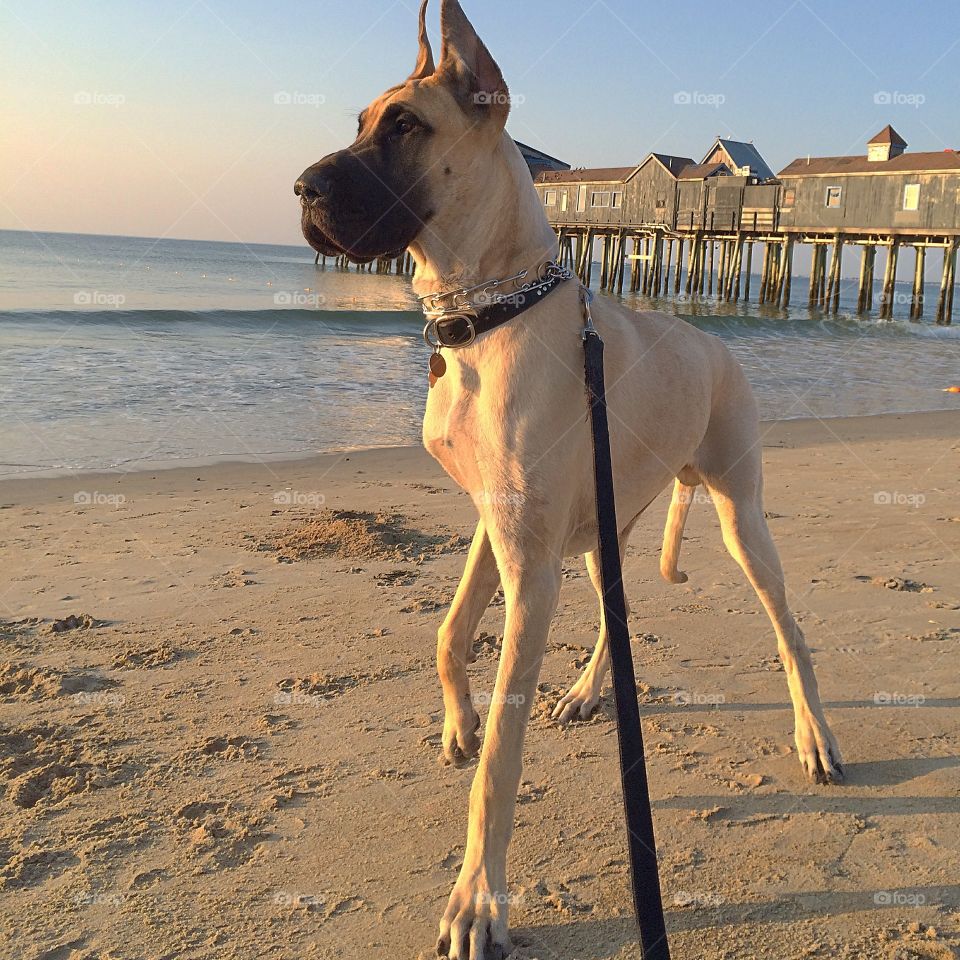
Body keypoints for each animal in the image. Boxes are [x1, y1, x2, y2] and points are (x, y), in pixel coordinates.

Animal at [292, 3, 840, 956]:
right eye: (361, 121)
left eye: (406, 127)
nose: (300, 190)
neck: (490, 312)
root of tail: (717, 340)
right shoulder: (499, 523)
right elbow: (447, 631)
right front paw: (460, 722)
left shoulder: (531, 569)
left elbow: (501, 766)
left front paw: (478, 897)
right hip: (600, 531)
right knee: (619, 612)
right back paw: (589, 691)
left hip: (740, 516)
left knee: (790, 632)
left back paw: (815, 735)